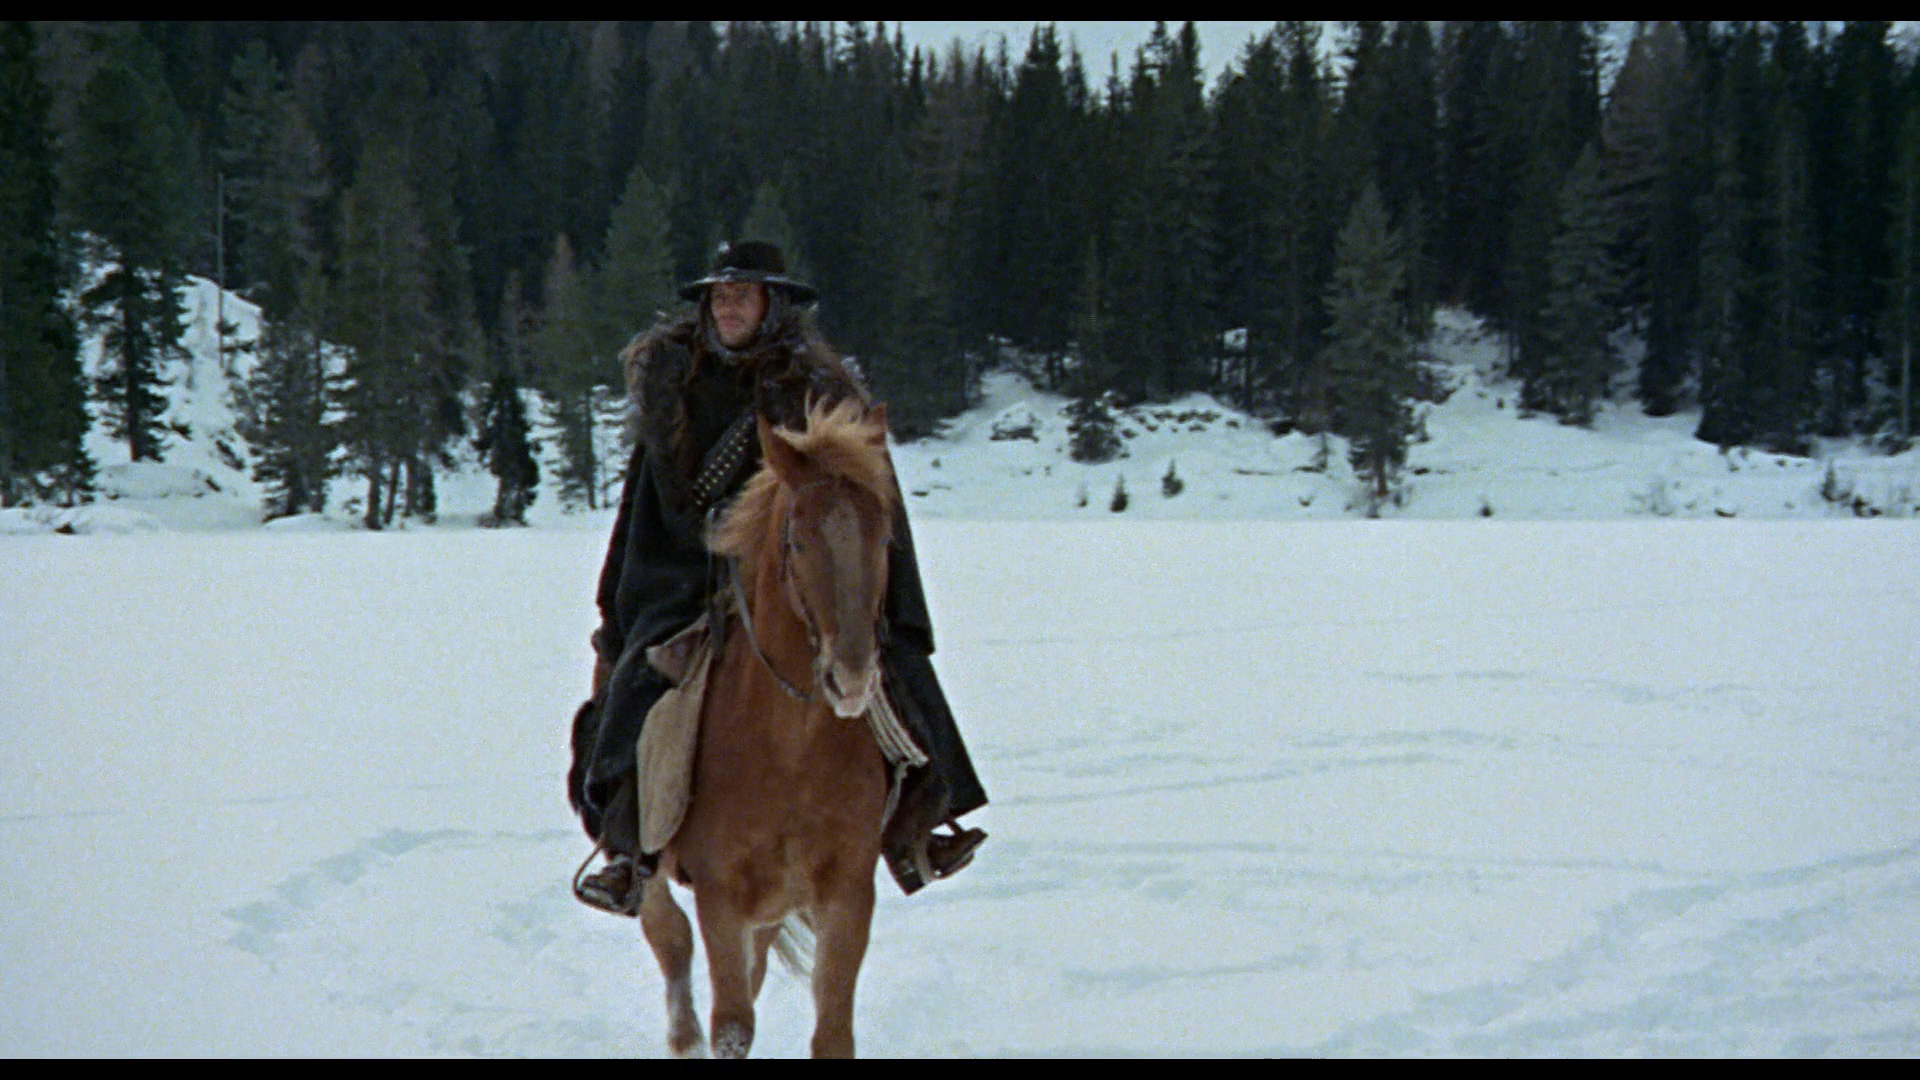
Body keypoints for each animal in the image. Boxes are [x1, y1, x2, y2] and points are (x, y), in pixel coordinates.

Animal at [638, 397, 898, 1059]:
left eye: (883, 537)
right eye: (799, 542)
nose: (852, 678)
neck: (789, 751)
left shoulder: (847, 894)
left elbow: (832, 1033)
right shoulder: (720, 896)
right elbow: (731, 1026)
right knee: (669, 938)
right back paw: (682, 1034)